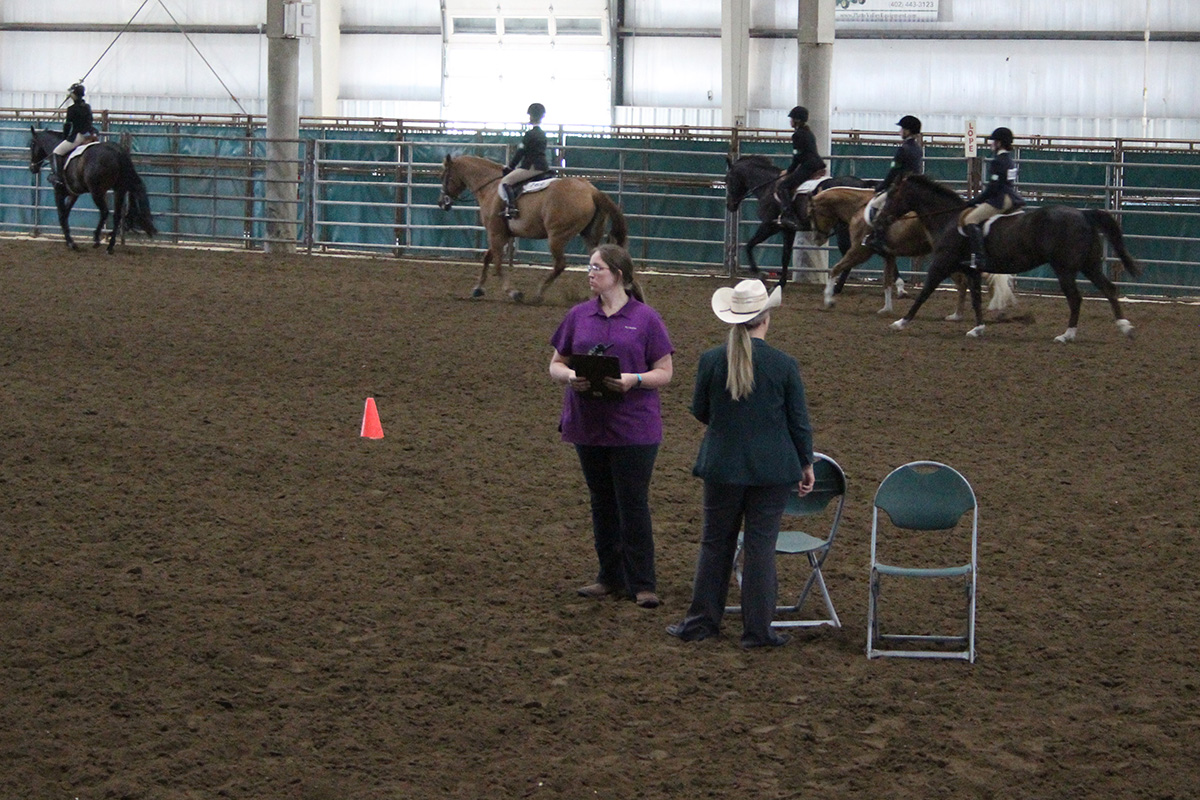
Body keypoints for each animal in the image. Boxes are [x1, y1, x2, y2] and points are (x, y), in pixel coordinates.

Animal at [439, 154, 628, 302]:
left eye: (443, 176)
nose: (442, 203)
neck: (490, 187)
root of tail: (591, 191)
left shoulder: (495, 233)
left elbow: (498, 265)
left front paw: (514, 293)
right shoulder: (502, 234)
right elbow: (487, 258)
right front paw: (478, 288)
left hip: (556, 236)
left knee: (560, 264)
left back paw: (539, 293)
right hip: (590, 235)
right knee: (595, 263)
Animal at [720, 155, 873, 281]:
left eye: (728, 180)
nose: (729, 205)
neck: (769, 186)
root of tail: (863, 185)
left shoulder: (769, 226)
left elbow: (749, 245)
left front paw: (759, 273)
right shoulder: (787, 229)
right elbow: (785, 257)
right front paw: (780, 284)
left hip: (843, 229)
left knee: (849, 254)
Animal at [806, 184, 1012, 316]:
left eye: (811, 213)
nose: (817, 239)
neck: (860, 208)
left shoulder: (860, 251)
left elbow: (835, 269)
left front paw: (828, 300)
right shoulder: (888, 255)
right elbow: (887, 281)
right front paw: (887, 309)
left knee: (962, 282)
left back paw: (960, 314)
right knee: (967, 281)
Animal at [873, 173, 1142, 340]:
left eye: (892, 196)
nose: (880, 219)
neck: (947, 219)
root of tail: (1083, 214)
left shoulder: (942, 264)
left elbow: (925, 292)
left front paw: (901, 322)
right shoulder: (971, 269)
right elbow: (975, 299)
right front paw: (978, 329)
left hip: (1065, 268)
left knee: (1076, 298)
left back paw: (1067, 335)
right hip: (1089, 265)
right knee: (1109, 289)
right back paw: (1125, 328)